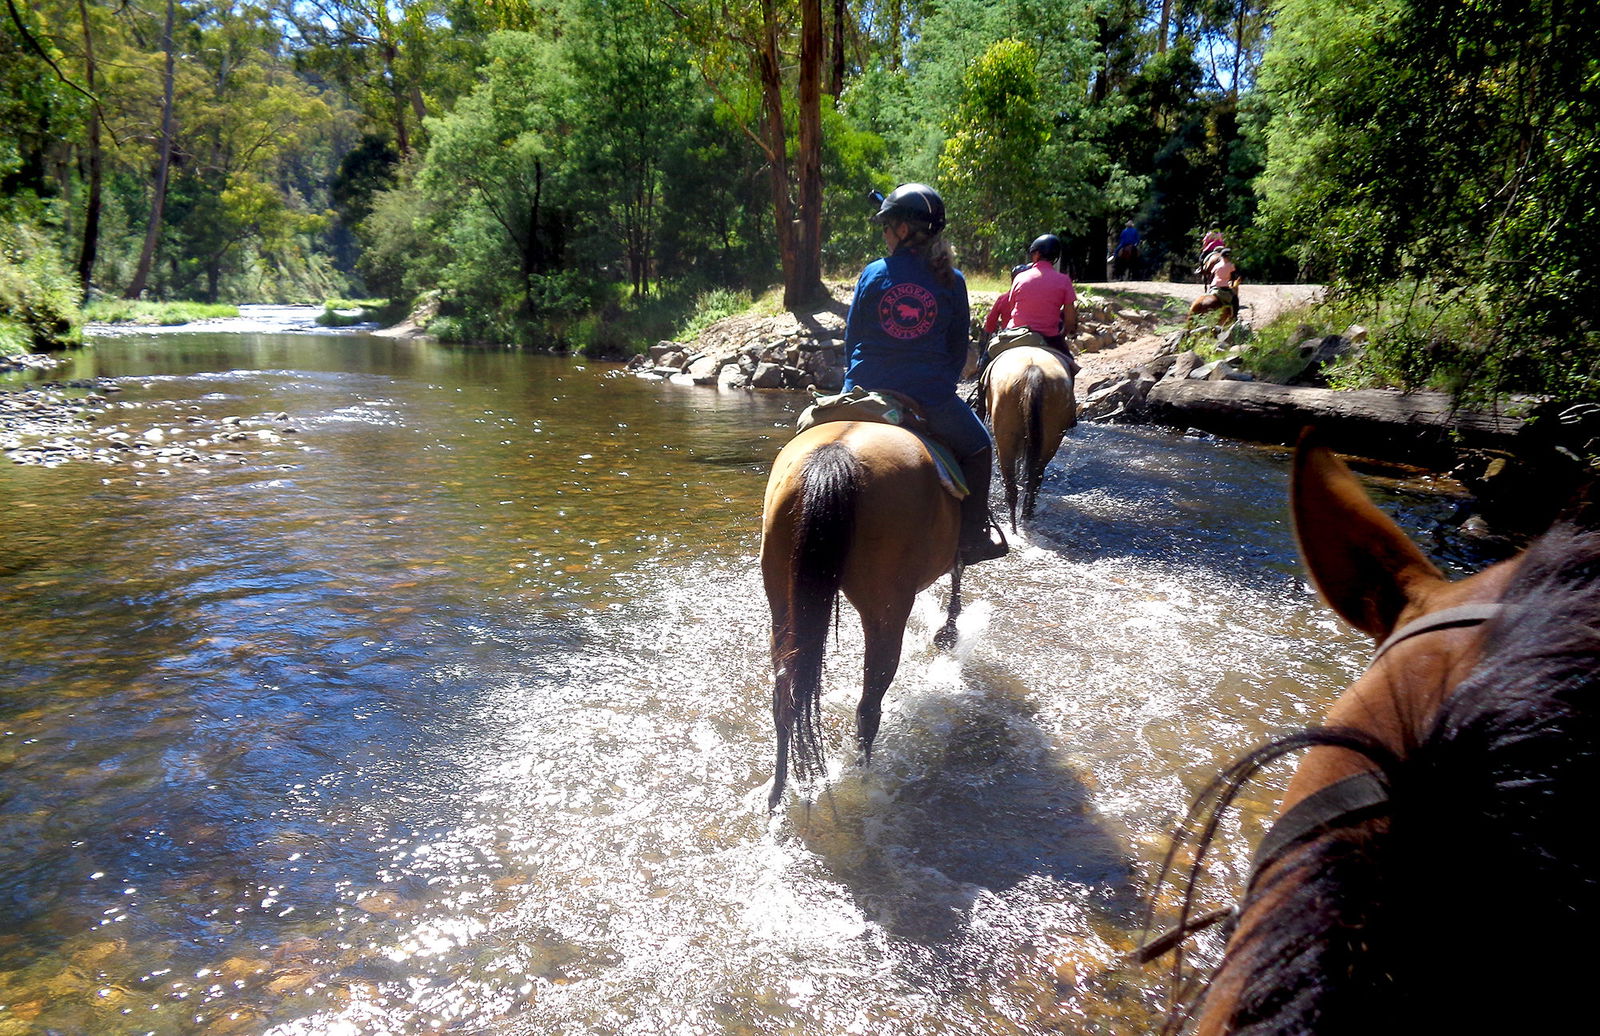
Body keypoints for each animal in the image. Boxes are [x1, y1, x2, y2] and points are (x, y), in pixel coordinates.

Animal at [759, 419, 965, 810]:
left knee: (784, 695)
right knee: (869, 705)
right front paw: (948, 631)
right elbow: (959, 572)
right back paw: (865, 782)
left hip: (782, 602)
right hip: (886, 610)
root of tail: (836, 452)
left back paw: (777, 791)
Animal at [983, 345, 1076, 530]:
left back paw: (1014, 526)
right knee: (1033, 481)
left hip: (1005, 438)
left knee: (1012, 487)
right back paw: (1024, 519)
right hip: (1050, 439)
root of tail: (1034, 371)